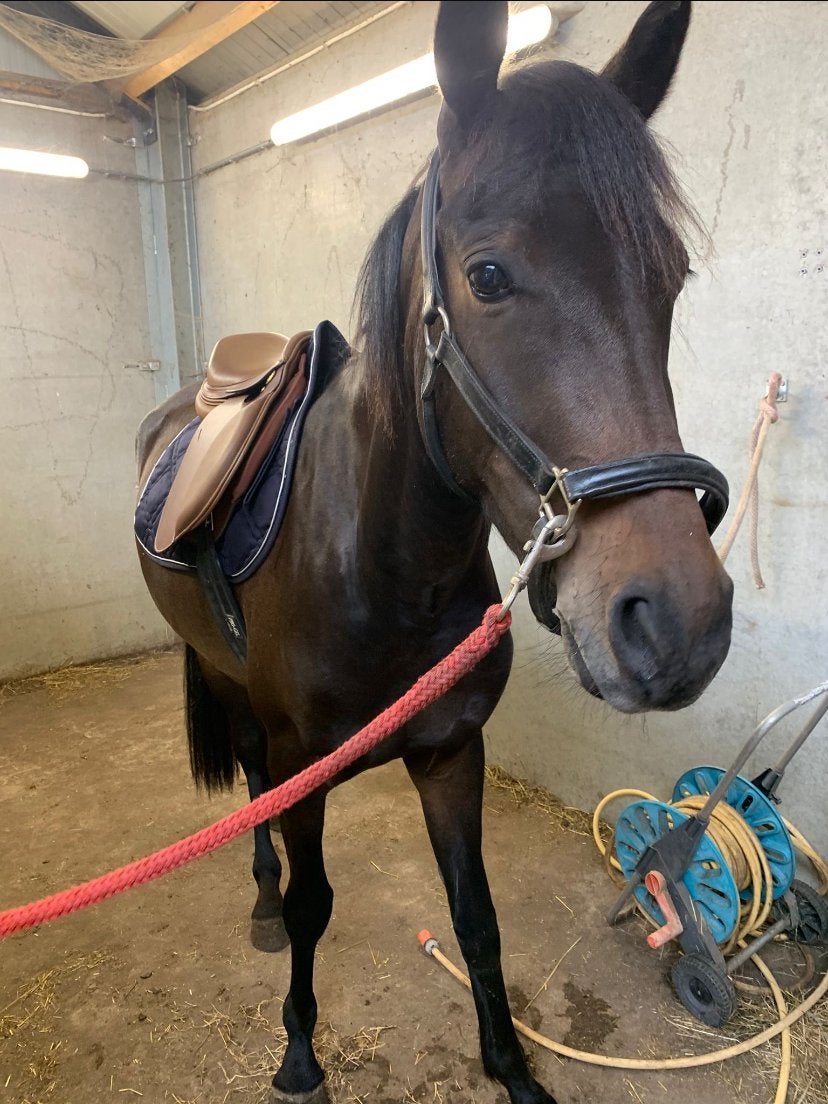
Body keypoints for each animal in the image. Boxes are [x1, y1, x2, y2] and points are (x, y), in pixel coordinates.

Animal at [135, 2, 733, 1101]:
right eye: (487, 276)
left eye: (670, 278)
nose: (679, 626)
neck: (381, 568)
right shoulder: (306, 765)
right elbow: (314, 906)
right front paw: (298, 1050)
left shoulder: (454, 754)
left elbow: (476, 919)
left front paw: (512, 1066)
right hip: (230, 683)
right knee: (250, 783)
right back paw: (257, 896)